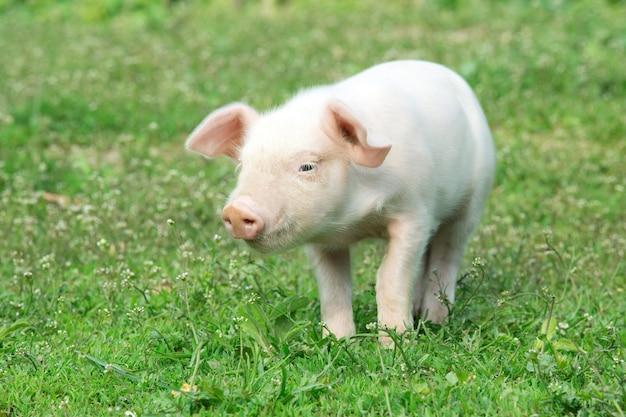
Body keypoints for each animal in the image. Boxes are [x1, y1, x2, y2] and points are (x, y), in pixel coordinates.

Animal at [184, 60, 492, 342]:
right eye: (242, 166)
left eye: (307, 166)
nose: (237, 210)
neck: (353, 222)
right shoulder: (321, 239)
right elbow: (333, 287)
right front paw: (337, 342)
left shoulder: (414, 214)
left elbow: (389, 278)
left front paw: (395, 345)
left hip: (473, 201)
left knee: (447, 253)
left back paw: (434, 320)